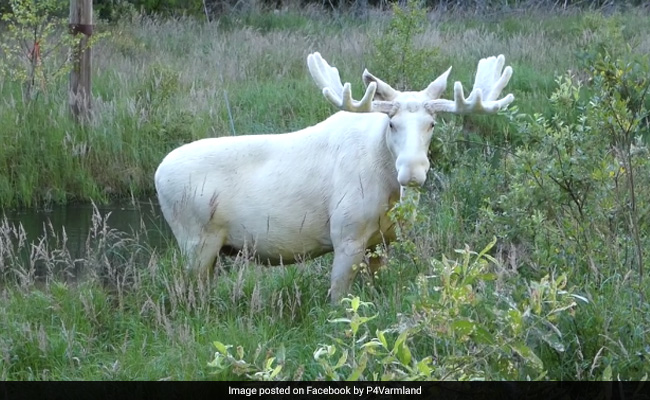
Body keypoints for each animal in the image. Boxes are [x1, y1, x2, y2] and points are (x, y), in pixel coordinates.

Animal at [154, 52, 514, 303]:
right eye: (392, 123)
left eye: (432, 124)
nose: (412, 171)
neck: (388, 190)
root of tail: (157, 174)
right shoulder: (346, 235)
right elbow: (338, 300)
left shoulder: (381, 243)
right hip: (195, 241)